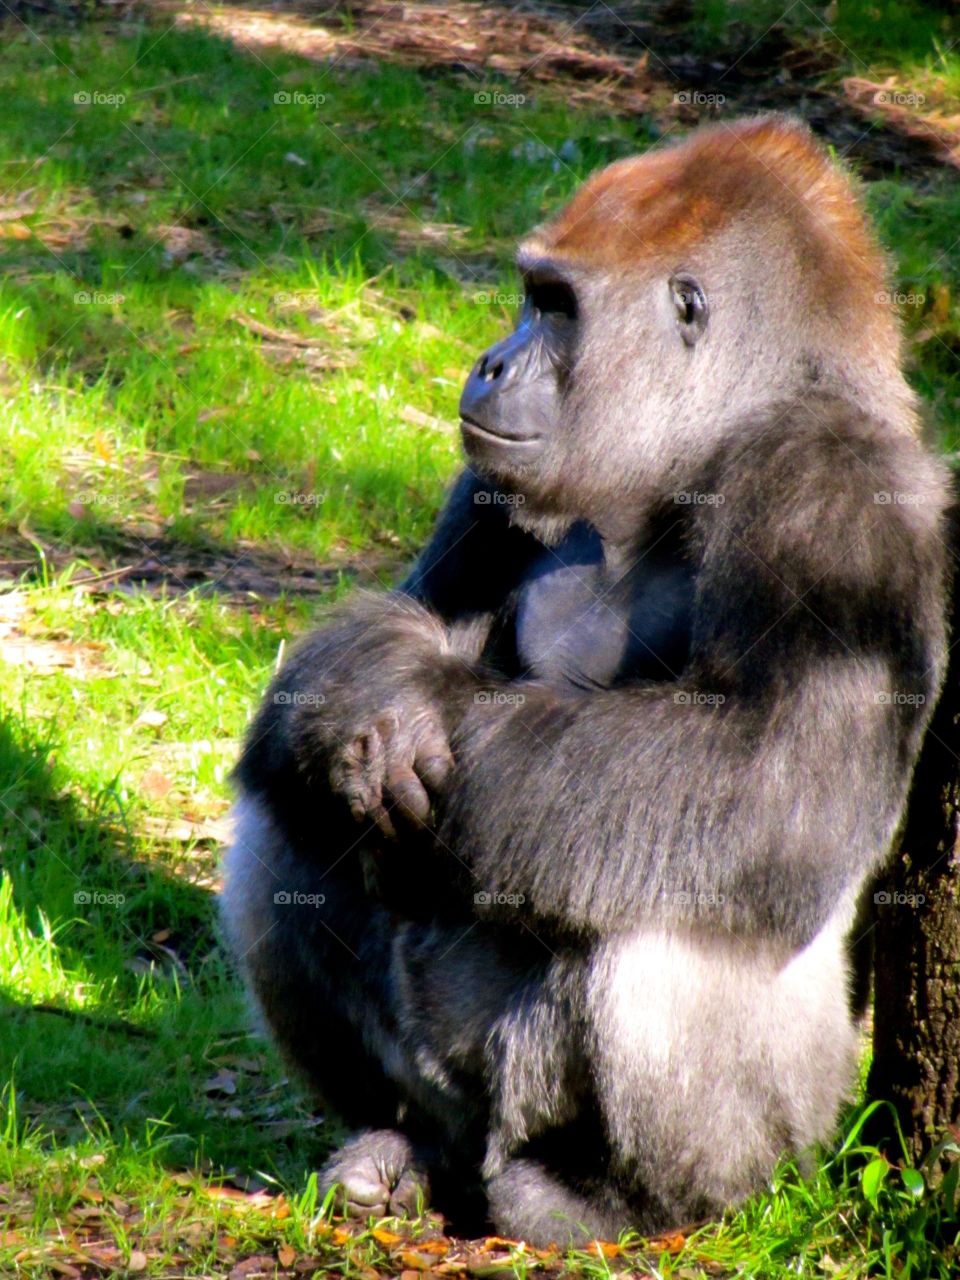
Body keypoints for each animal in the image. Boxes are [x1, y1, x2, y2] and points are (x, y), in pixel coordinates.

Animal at [221, 117, 952, 1239]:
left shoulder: (838, 493)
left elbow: (763, 776)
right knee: (290, 818)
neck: (714, 434)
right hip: (455, 1105)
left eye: (556, 307)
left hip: (786, 1145)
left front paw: (420, 705)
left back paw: (607, 1197)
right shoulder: (493, 478)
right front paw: (368, 685)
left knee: (672, 884)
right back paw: (400, 1146)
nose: (489, 363)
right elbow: (386, 631)